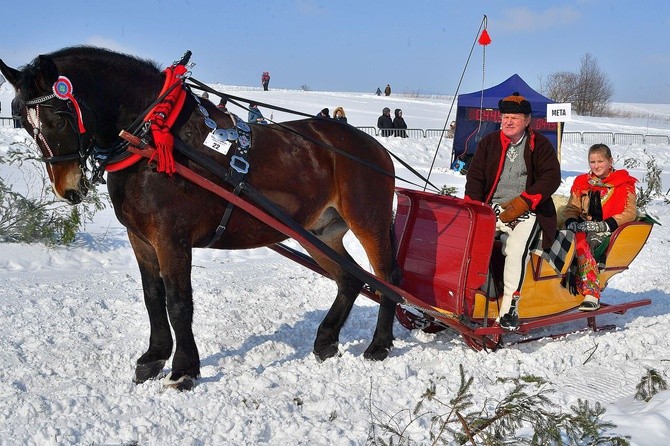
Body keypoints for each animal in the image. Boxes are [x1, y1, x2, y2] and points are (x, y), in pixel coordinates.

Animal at [0, 46, 402, 390]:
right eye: (23, 121)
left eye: (61, 117)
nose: (67, 188)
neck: (153, 135)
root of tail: (374, 148)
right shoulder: (140, 237)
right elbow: (153, 296)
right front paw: (153, 358)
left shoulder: (171, 237)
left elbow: (179, 303)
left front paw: (183, 369)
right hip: (317, 231)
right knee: (350, 279)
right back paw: (326, 341)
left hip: (369, 222)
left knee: (386, 279)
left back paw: (379, 345)